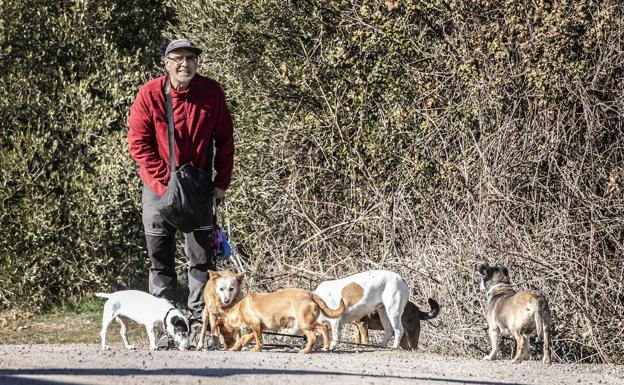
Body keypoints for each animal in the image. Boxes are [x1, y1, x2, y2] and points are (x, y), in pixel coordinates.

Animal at [218, 286, 346, 352]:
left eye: (223, 332)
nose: (225, 347)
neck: (240, 308)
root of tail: (310, 294)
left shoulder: (255, 326)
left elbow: (259, 340)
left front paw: (256, 349)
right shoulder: (257, 328)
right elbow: (244, 338)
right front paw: (236, 347)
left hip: (305, 323)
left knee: (322, 329)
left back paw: (322, 346)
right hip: (304, 325)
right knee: (315, 336)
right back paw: (310, 349)